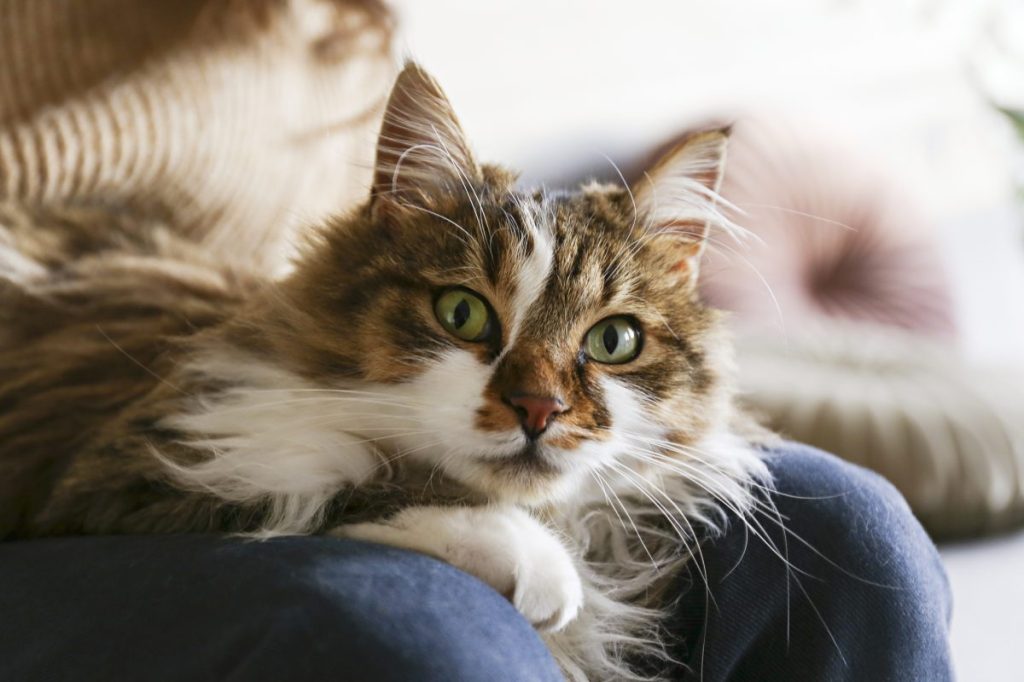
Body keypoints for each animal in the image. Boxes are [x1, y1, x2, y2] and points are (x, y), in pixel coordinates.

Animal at [0, 62, 770, 675]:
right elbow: (345, 475)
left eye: (613, 340)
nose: (539, 409)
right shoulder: (127, 469)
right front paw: (534, 559)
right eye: (462, 313)